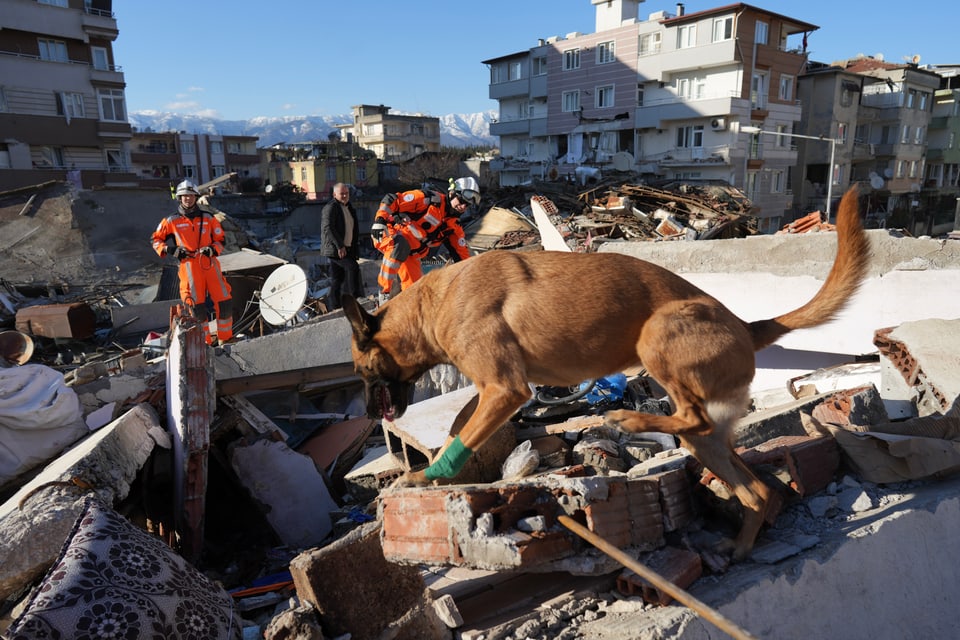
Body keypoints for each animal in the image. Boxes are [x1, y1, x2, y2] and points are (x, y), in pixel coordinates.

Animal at [344, 186, 872, 560]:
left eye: (360, 368)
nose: (370, 414)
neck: (434, 305)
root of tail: (746, 325)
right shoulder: (496, 393)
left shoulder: (504, 390)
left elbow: (461, 442)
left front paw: (423, 478)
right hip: (709, 442)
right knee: (755, 488)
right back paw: (741, 547)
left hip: (656, 337)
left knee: (695, 420)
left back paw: (630, 420)